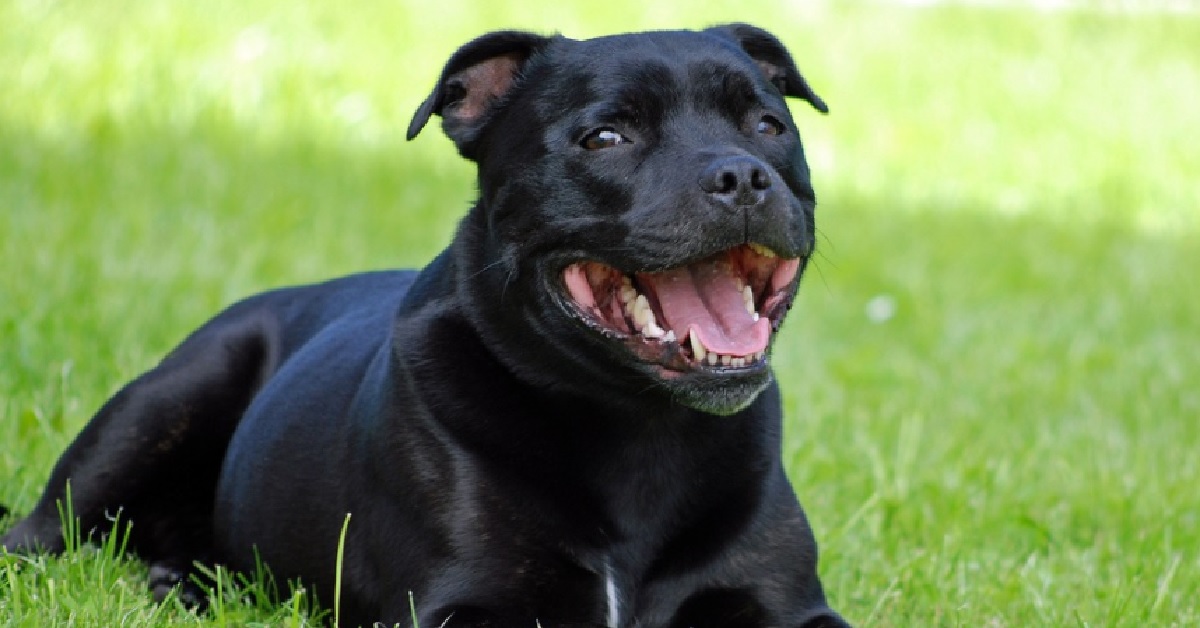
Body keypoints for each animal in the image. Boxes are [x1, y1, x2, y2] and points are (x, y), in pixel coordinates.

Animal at [2, 24, 844, 628]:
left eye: (769, 125)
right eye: (606, 137)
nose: (742, 175)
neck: (640, 430)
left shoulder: (785, 604)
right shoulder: (461, 603)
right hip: (159, 404)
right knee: (42, 535)